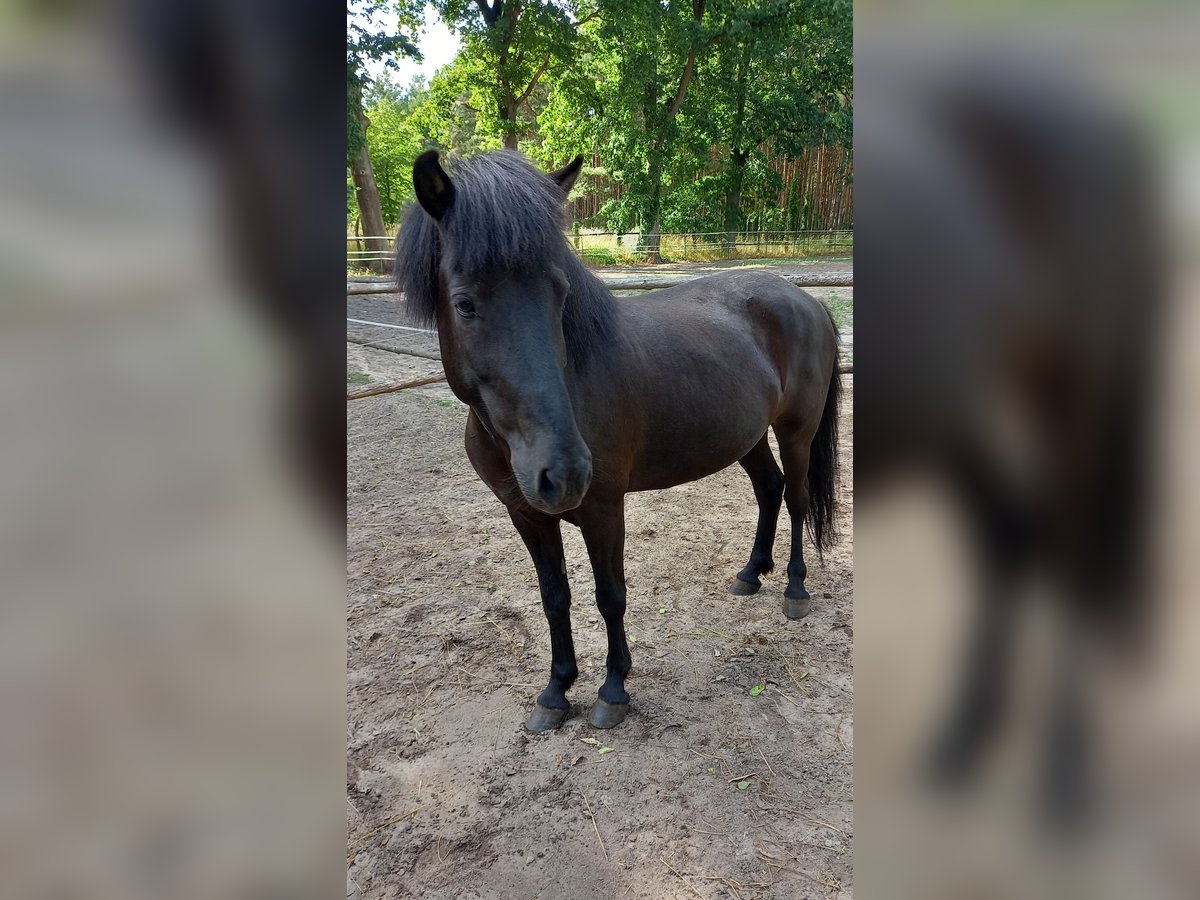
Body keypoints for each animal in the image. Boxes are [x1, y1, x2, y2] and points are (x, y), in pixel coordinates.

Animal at [398, 151, 840, 734]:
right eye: (464, 304)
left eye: (560, 293)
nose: (564, 471)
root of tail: (806, 298)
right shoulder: (526, 514)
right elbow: (554, 597)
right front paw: (556, 692)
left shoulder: (604, 508)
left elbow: (610, 596)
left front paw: (613, 689)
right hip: (746, 436)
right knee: (769, 488)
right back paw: (750, 575)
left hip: (796, 430)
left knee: (796, 498)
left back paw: (794, 589)